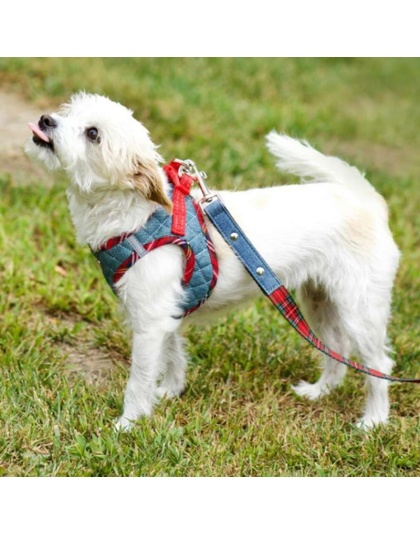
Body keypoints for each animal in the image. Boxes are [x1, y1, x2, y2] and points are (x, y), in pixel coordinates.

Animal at [25, 92, 400, 432]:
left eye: (93, 134)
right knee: (336, 349)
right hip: (319, 301)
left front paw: (127, 424)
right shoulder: (167, 313)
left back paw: (373, 420)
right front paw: (170, 392)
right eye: (68, 111)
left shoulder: (149, 322)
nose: (45, 120)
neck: (137, 215)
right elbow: (173, 355)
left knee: (379, 365)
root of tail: (365, 200)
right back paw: (320, 392)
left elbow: (139, 378)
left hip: (360, 311)